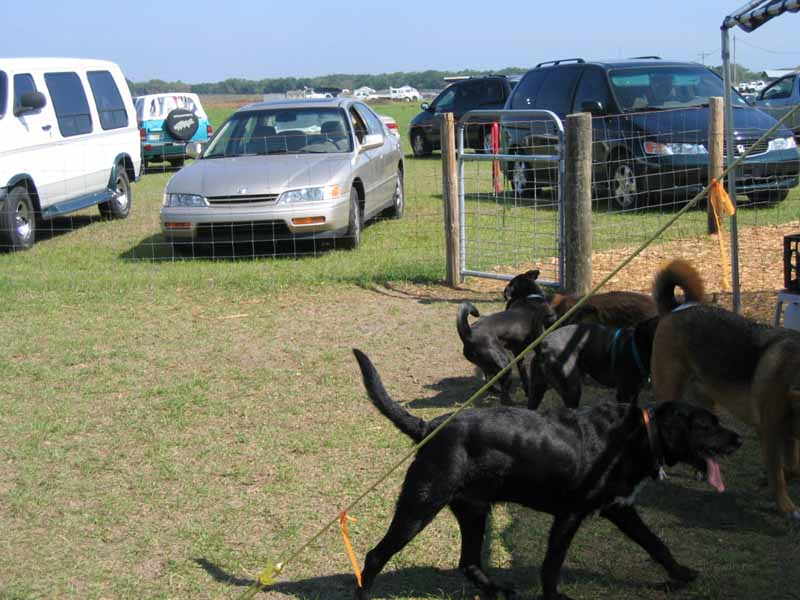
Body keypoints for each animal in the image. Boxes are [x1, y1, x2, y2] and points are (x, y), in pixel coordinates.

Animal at [352, 349, 742, 600]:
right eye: (708, 426)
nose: (738, 438)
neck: (640, 434)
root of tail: (429, 427)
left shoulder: (620, 508)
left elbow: (656, 543)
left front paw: (682, 575)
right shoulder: (570, 515)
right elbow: (552, 563)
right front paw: (555, 596)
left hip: (474, 509)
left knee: (469, 563)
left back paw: (498, 590)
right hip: (420, 506)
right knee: (374, 556)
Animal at [457, 269, 556, 402]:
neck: (529, 297)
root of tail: (469, 334)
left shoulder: (519, 354)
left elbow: (525, 377)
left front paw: (528, 391)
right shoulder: (538, 345)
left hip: (488, 366)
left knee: (490, 385)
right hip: (504, 364)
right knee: (504, 397)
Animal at [527, 317, 659, 410]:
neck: (636, 345)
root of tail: (543, 347)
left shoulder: (635, 393)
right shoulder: (624, 394)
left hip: (536, 391)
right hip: (572, 390)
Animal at [651, 258, 800, 520]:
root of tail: (678, 308)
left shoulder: (789, 434)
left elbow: (791, 468)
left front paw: (765, 482)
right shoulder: (769, 432)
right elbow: (779, 474)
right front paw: (786, 506)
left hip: (704, 404)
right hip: (669, 389)